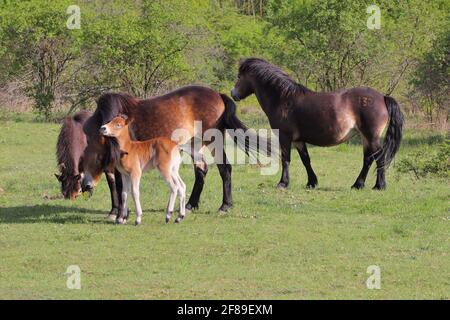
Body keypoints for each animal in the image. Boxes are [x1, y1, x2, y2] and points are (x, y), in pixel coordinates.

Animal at [81, 86, 268, 224]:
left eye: (93, 157)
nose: (85, 186)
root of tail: (218, 95)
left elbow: (119, 185)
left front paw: (121, 214)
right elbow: (115, 183)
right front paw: (116, 212)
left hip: (214, 141)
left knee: (224, 169)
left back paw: (224, 206)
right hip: (195, 145)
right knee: (201, 170)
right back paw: (190, 205)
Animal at [232, 58, 404, 190]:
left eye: (239, 76)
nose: (233, 94)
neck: (283, 99)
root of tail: (382, 97)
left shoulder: (285, 137)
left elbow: (286, 159)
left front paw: (283, 183)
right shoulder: (298, 140)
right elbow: (305, 160)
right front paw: (311, 182)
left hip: (371, 136)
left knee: (379, 158)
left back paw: (379, 186)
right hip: (365, 137)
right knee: (368, 159)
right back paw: (358, 185)